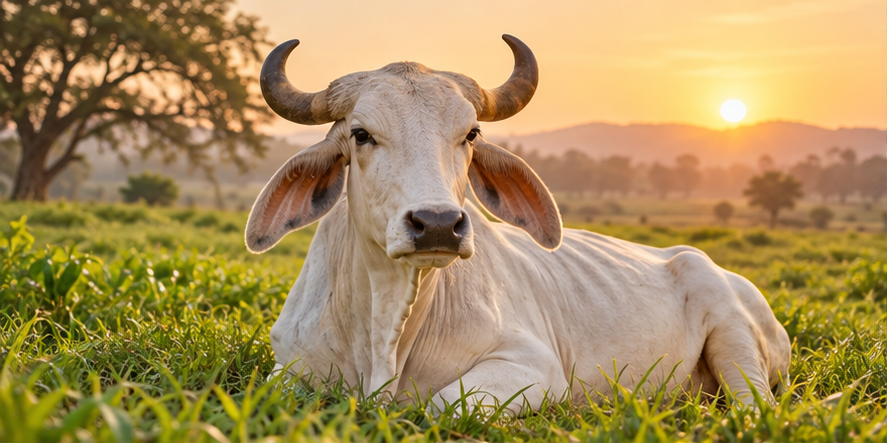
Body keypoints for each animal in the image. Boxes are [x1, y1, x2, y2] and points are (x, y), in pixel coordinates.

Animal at [245, 35, 791, 414]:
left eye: (470, 134)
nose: (437, 224)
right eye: (361, 134)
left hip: (738, 345)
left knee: (754, 407)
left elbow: (441, 404)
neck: (385, 329)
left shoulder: (535, 367)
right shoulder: (286, 368)